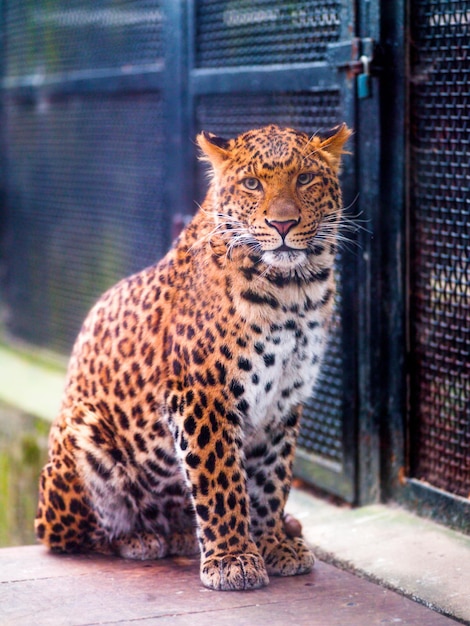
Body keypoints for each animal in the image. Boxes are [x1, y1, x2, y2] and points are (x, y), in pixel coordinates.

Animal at [35, 123, 350, 588]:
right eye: (252, 183)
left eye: (305, 178)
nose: (283, 223)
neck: (294, 289)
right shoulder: (205, 395)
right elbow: (221, 481)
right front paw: (233, 559)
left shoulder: (283, 400)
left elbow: (271, 479)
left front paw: (273, 543)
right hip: (81, 433)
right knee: (64, 537)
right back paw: (139, 537)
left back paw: (192, 532)